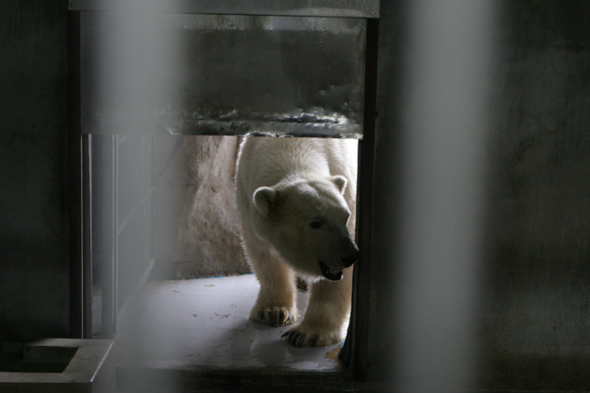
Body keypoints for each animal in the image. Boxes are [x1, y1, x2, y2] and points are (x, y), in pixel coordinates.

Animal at [237, 136, 360, 346]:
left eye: (345, 217)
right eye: (315, 223)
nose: (349, 256)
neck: (293, 145)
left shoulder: (347, 185)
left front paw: (308, 333)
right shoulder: (247, 200)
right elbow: (264, 255)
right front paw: (273, 312)